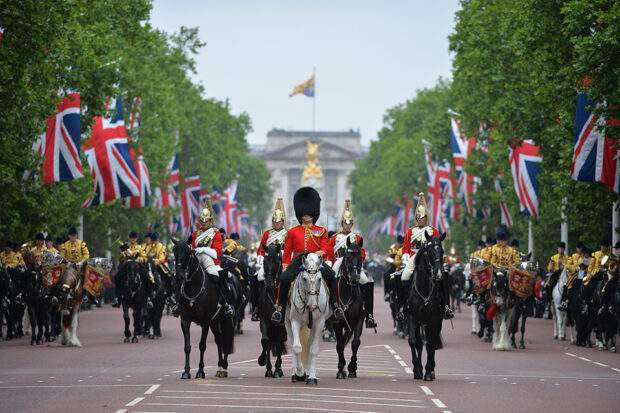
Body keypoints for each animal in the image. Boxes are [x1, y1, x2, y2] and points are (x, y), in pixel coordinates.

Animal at [172, 238, 235, 376]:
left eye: (188, 254)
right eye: (175, 253)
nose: (179, 276)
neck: (194, 290)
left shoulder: (205, 322)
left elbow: (202, 346)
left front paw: (200, 371)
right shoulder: (185, 320)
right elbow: (187, 347)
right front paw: (186, 371)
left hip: (224, 319)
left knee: (226, 340)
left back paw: (224, 366)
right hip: (214, 321)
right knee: (219, 340)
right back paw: (220, 366)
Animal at [286, 253, 334, 384]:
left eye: (319, 279)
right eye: (304, 279)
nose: (312, 306)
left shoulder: (319, 322)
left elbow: (313, 349)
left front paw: (311, 376)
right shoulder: (295, 321)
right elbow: (297, 347)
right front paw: (300, 373)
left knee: (308, 343)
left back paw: (307, 372)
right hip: (287, 321)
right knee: (292, 343)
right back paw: (295, 373)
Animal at [406, 232, 446, 380]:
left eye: (442, 250)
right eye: (429, 250)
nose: (439, 274)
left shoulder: (434, 319)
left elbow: (430, 345)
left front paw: (428, 371)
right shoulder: (412, 316)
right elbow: (414, 341)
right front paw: (417, 368)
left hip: (435, 322)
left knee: (432, 343)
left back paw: (431, 369)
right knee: (419, 343)